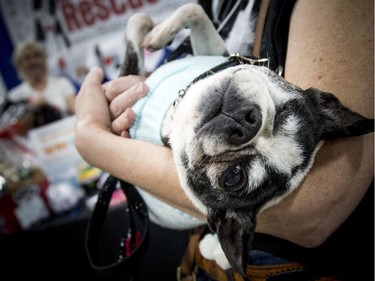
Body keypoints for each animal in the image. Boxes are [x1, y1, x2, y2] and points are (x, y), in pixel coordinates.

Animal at [119, 3, 374, 274]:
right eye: (285, 113)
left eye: (234, 176)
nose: (248, 123)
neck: (174, 112)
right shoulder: (213, 51)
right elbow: (191, 10)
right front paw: (156, 34)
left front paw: (149, 36)